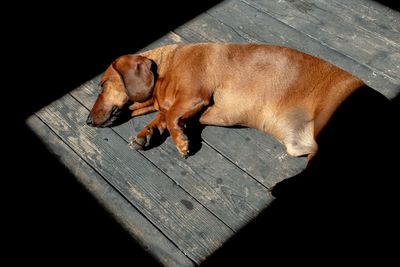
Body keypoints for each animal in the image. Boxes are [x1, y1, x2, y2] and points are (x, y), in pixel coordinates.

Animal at [87, 42, 366, 158]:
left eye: (102, 84)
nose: (88, 121)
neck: (166, 68)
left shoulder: (193, 96)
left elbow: (171, 114)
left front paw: (181, 143)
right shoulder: (183, 106)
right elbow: (163, 116)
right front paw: (146, 134)